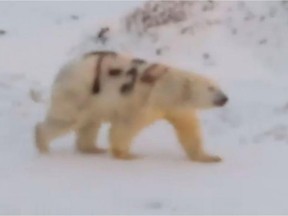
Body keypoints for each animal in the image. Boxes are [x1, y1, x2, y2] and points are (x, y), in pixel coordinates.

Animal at [35, 50, 227, 162]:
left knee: (90, 123)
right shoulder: (143, 101)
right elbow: (126, 125)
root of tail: (65, 68)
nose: (225, 98)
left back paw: (93, 149)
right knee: (67, 119)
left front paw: (210, 157)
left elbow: (189, 129)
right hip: (79, 92)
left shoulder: (178, 108)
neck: (168, 88)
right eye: (211, 88)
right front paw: (127, 155)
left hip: (90, 100)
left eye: (219, 86)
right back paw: (42, 144)